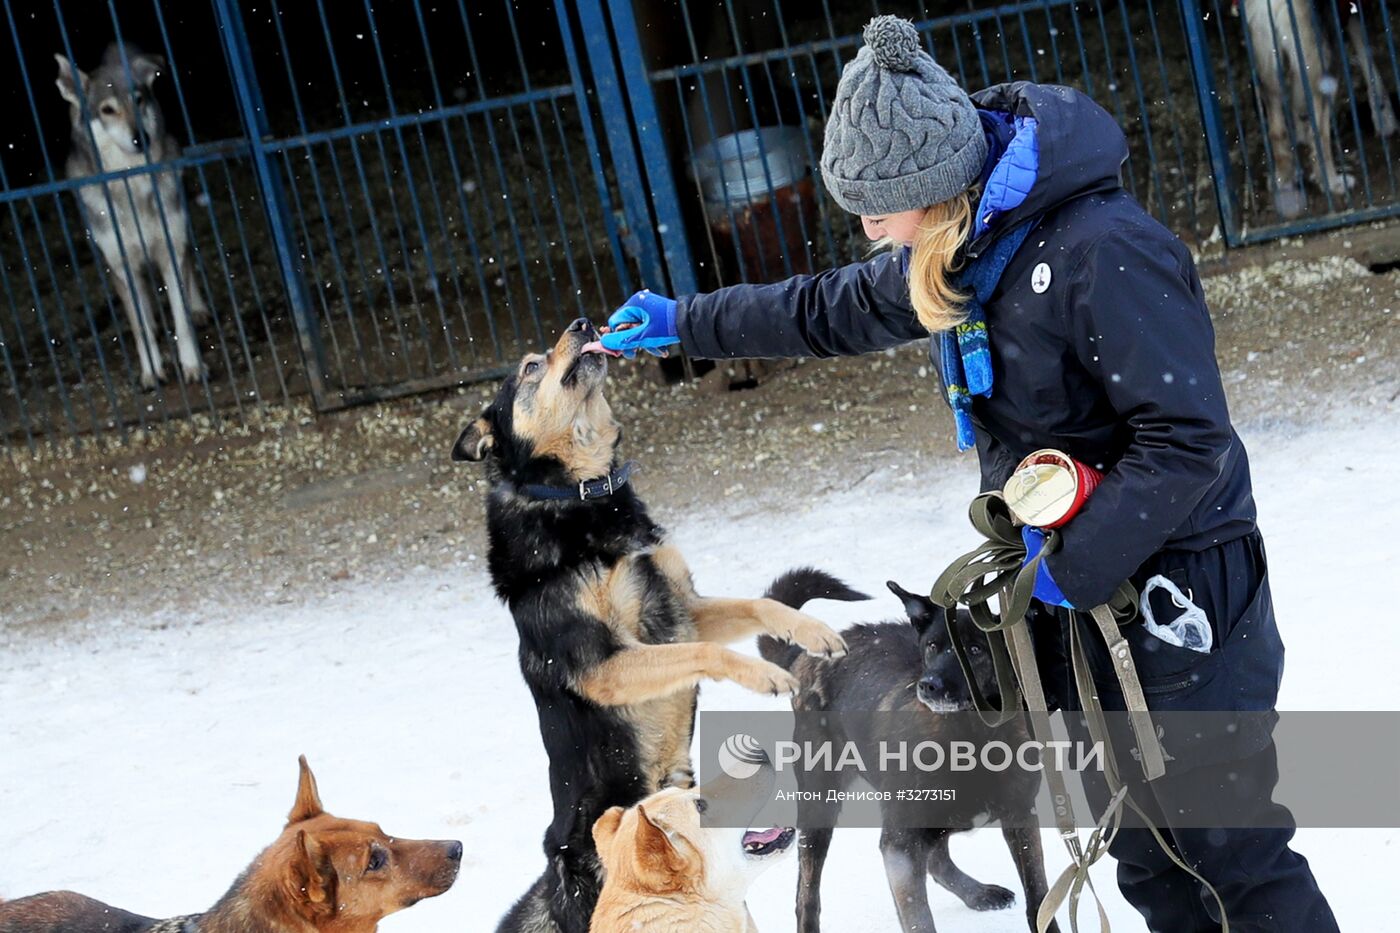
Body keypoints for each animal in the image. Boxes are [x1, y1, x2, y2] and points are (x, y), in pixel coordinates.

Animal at [761, 565, 1052, 930]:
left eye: (975, 650)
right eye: (931, 647)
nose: (928, 685)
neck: (970, 738)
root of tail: (808, 655)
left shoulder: (1021, 817)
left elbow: (1039, 898)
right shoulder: (899, 845)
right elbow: (918, 918)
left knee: (937, 856)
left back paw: (977, 893)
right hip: (819, 801)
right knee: (807, 893)